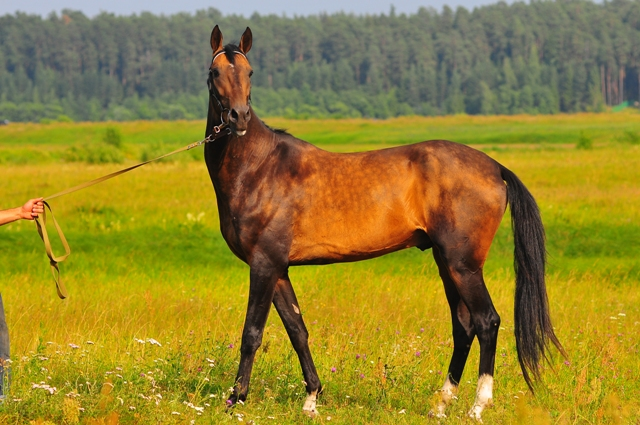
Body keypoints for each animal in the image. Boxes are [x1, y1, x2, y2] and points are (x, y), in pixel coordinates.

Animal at [202, 24, 564, 420]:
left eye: (249, 72)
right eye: (215, 73)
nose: (238, 117)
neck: (261, 167)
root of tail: (495, 167)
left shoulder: (264, 264)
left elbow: (252, 332)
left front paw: (236, 398)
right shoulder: (279, 268)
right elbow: (297, 329)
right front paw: (311, 397)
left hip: (463, 266)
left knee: (487, 322)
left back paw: (477, 406)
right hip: (446, 263)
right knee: (464, 326)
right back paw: (441, 403)